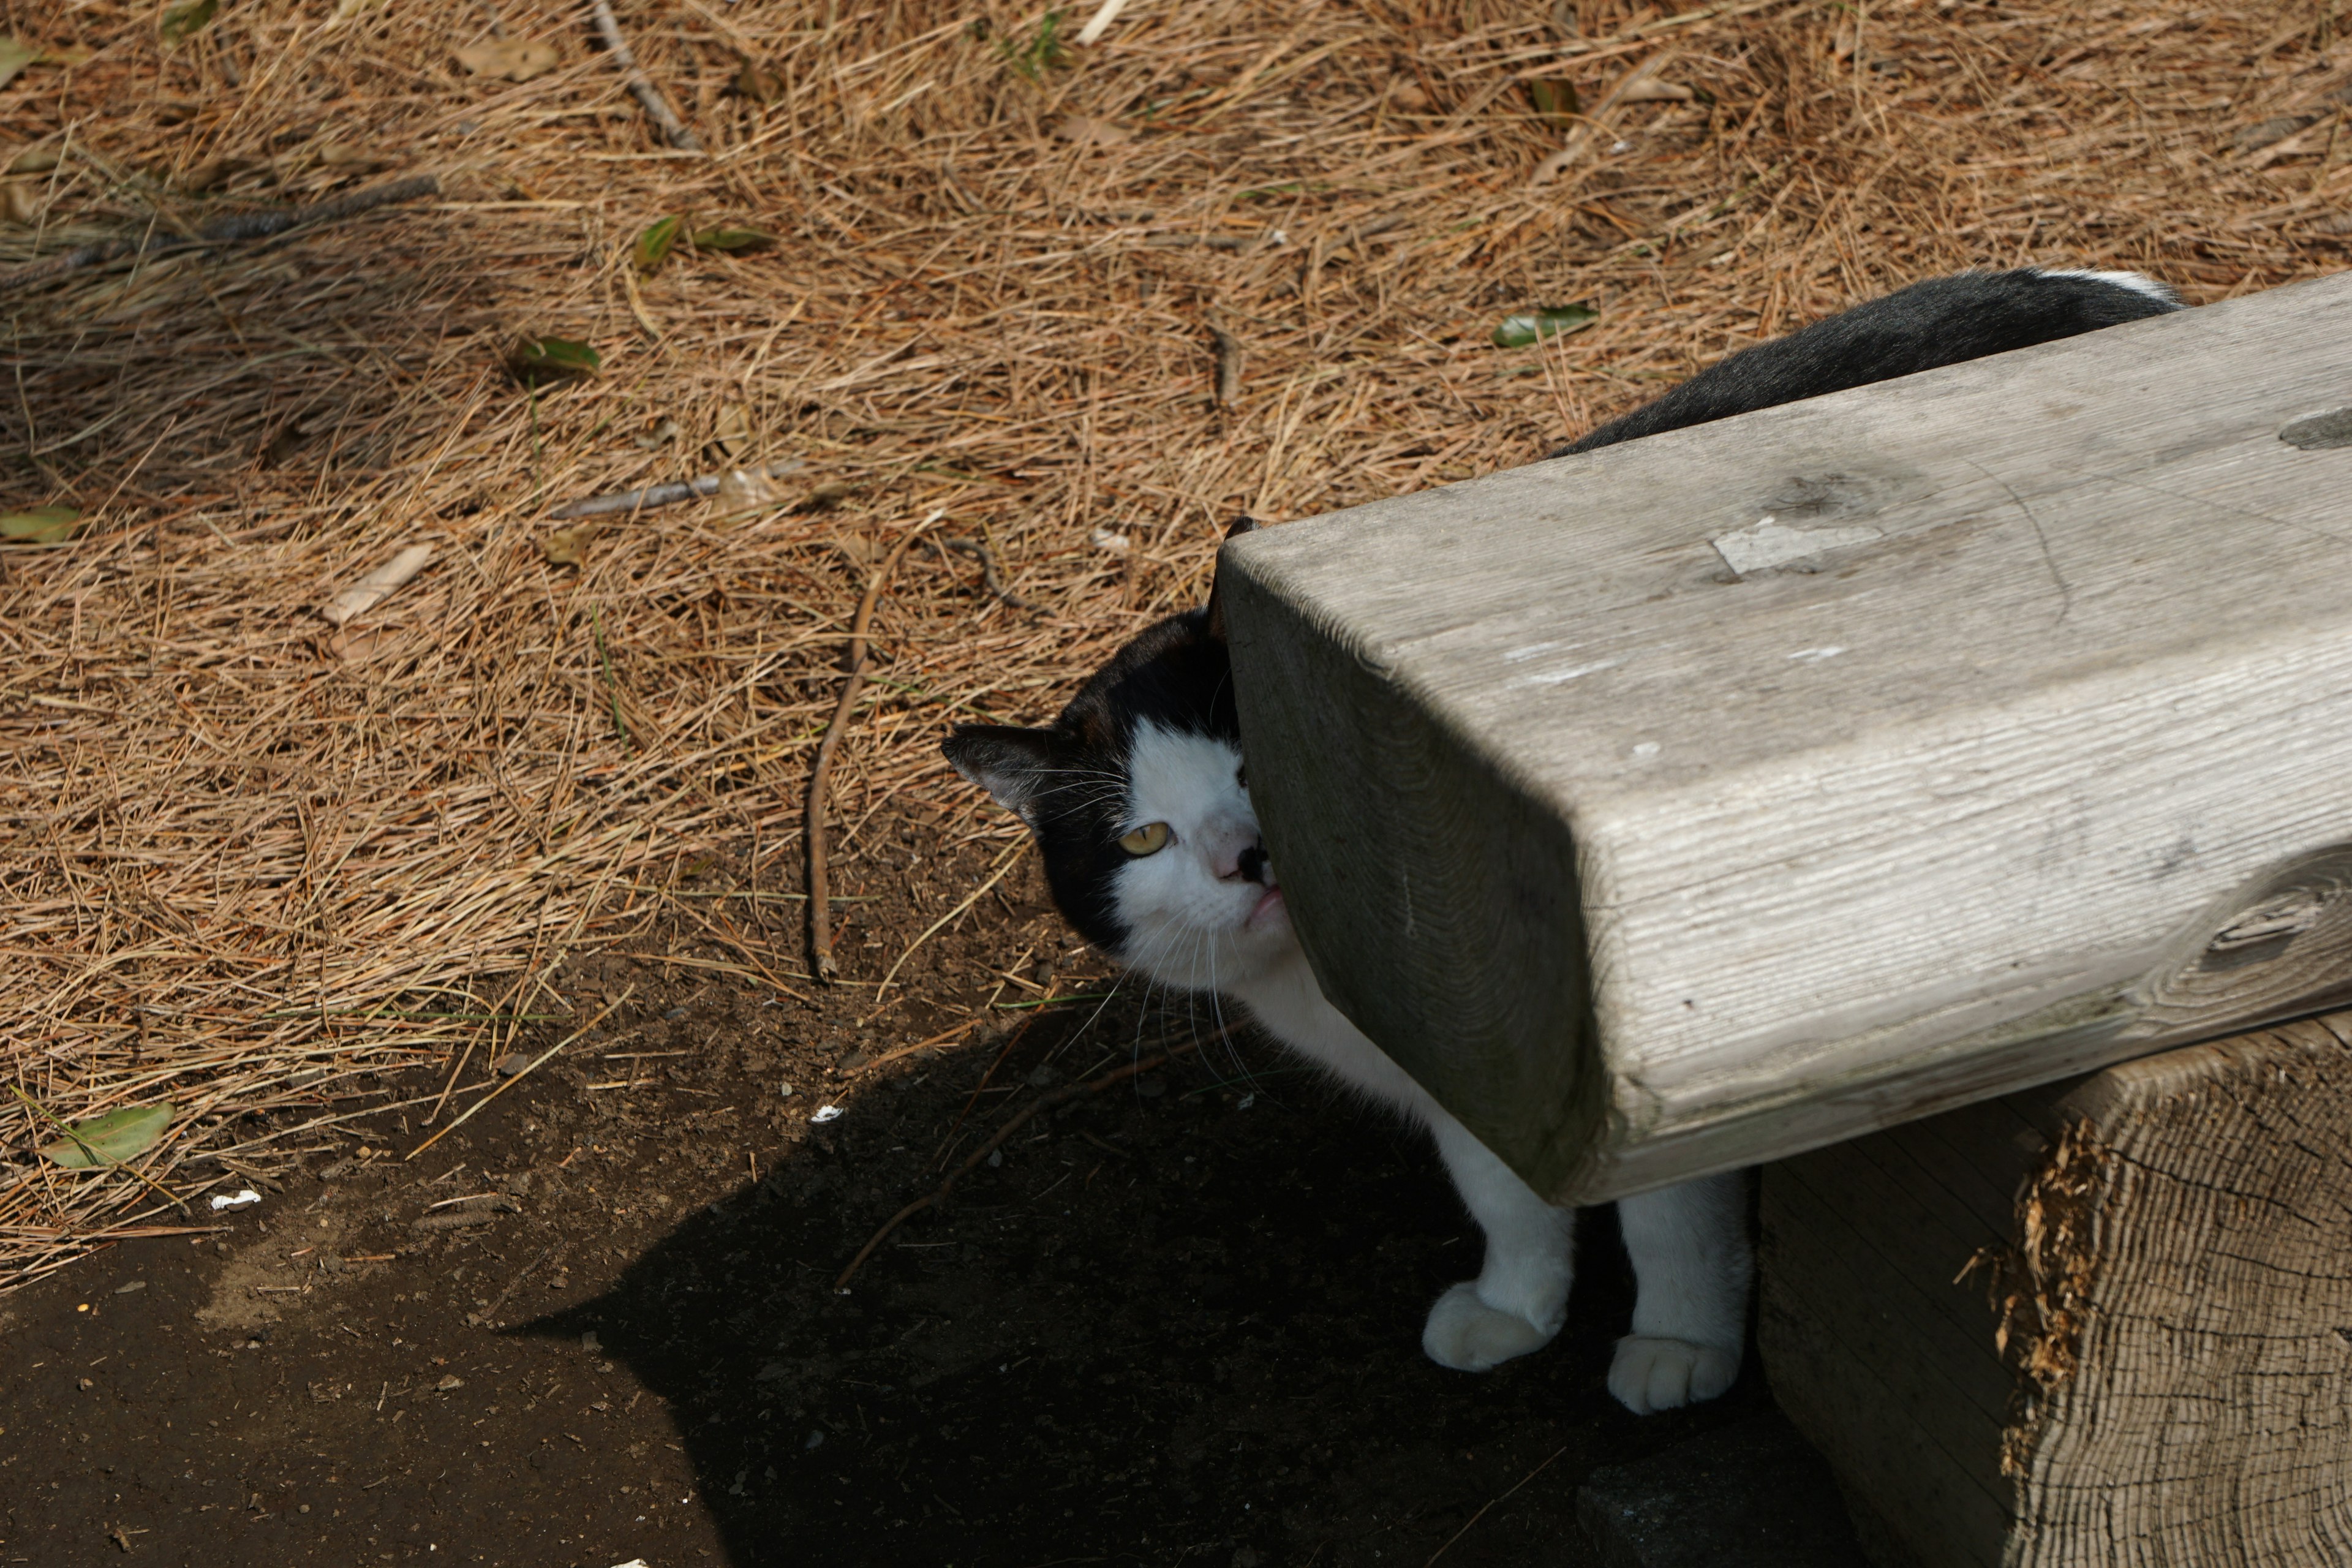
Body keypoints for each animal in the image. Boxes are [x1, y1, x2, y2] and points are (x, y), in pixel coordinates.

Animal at [941, 263, 2182, 1420]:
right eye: (1143, 837)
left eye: (1255, 764)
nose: (1244, 856)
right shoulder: (1478, 1078)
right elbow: (1500, 1194)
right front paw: (1514, 1307)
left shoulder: (1649, 1056)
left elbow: (1669, 1218)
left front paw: (1680, 1341)